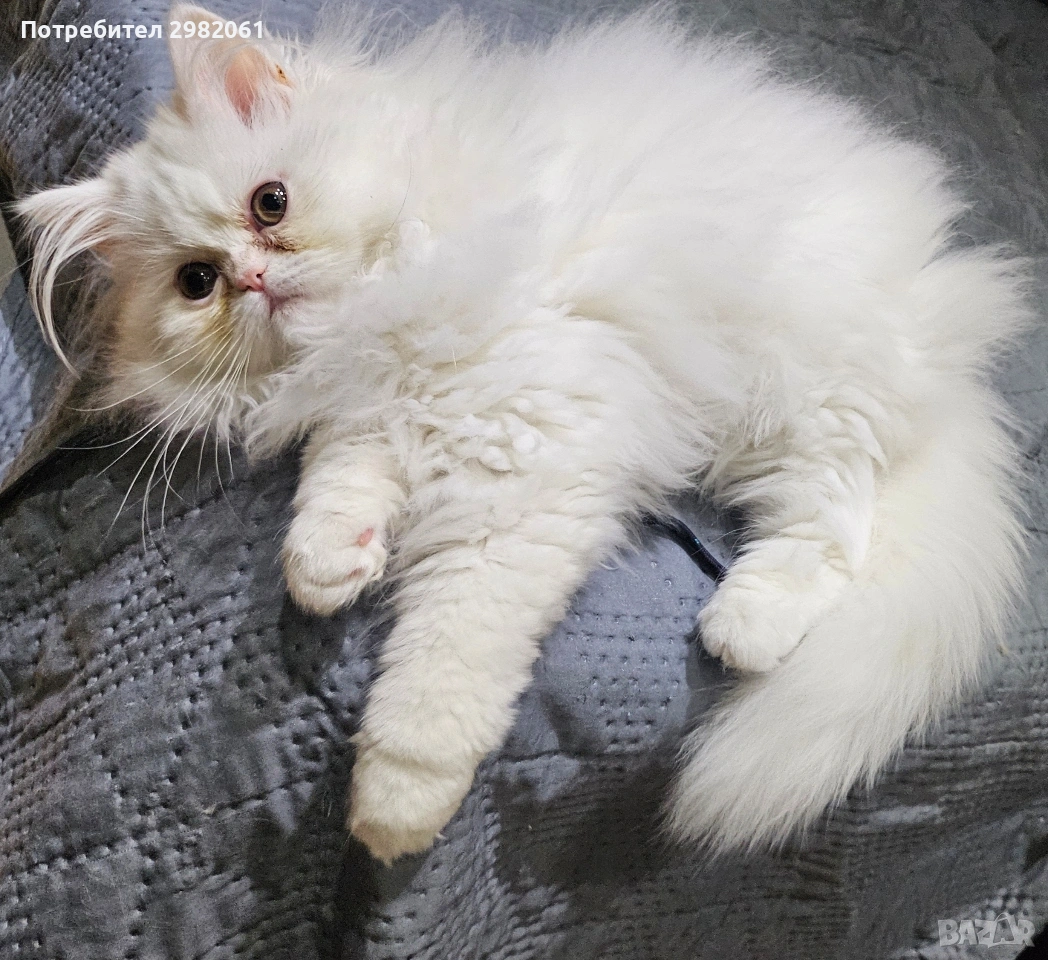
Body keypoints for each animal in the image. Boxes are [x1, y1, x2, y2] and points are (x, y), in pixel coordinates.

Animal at [18, 3, 1031, 864]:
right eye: (196, 283)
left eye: (271, 203)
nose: (253, 280)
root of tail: (945, 344)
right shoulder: (372, 410)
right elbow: (338, 482)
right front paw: (329, 563)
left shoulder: (520, 471)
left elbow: (441, 668)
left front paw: (393, 812)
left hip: (801, 384)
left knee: (839, 521)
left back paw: (743, 623)